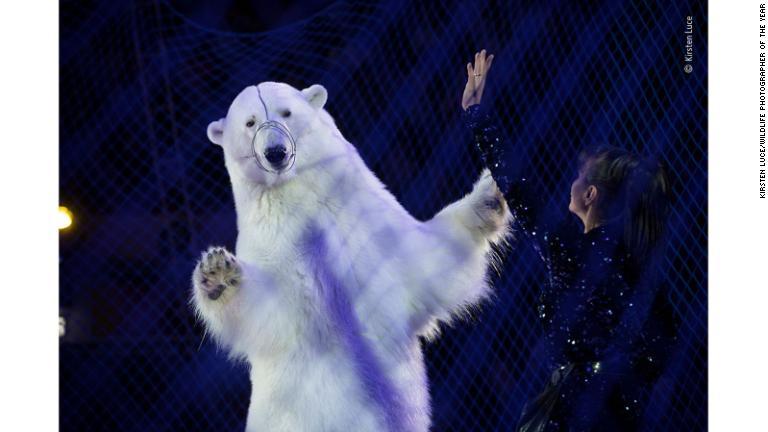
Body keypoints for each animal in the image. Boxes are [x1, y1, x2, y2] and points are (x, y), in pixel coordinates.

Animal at [192, 82, 510, 432]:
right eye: (250, 122)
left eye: (286, 112)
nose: (276, 152)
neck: (298, 197)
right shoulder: (271, 242)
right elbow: (272, 308)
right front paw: (218, 275)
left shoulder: (365, 215)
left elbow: (425, 261)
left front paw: (489, 195)